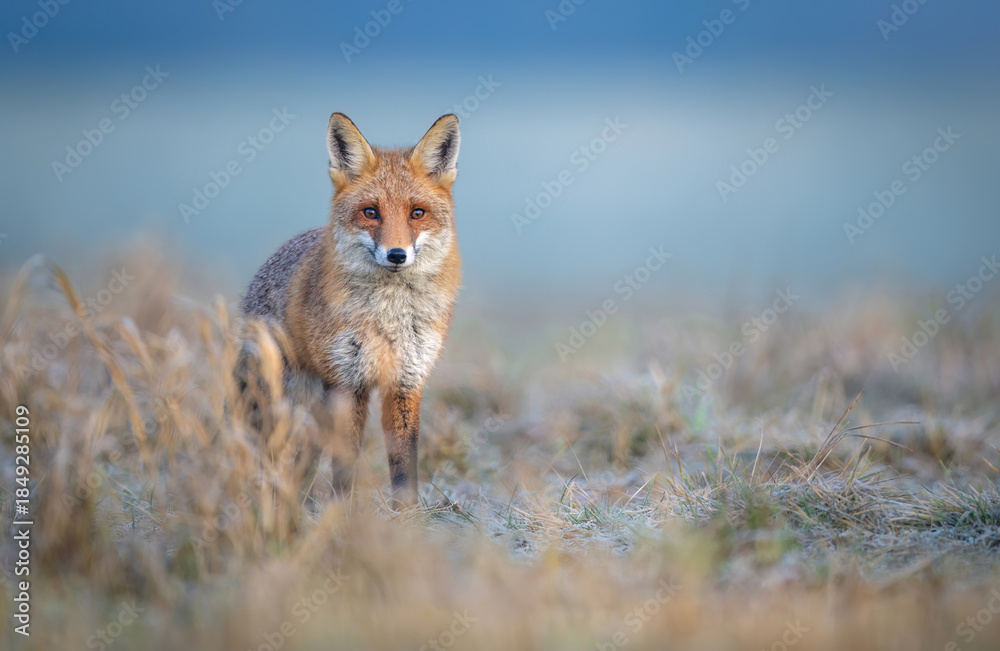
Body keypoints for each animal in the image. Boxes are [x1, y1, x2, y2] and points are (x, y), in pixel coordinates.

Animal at [240, 112, 462, 506]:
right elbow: (345, 465)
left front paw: (407, 517)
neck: (390, 317)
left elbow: (404, 467)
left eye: (417, 213)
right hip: (286, 403)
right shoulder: (348, 383)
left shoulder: (406, 381)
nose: (397, 254)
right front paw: (342, 513)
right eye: (370, 212)